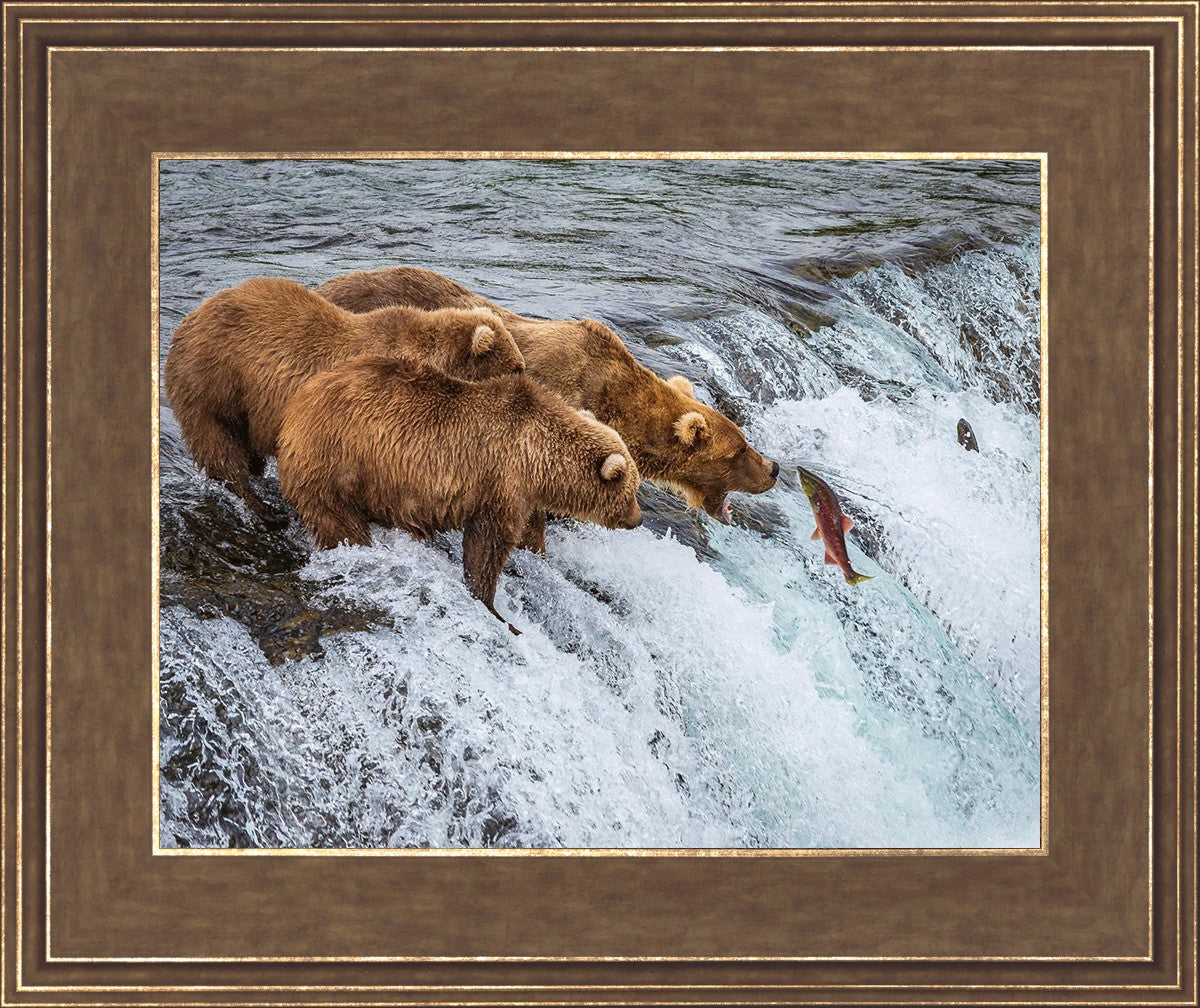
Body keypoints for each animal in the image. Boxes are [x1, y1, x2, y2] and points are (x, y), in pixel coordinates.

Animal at [164, 276, 525, 522]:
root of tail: (187, 320)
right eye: (517, 367)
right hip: (213, 383)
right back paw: (260, 506)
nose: (527, 382)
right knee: (219, 447)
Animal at [275, 353, 643, 632]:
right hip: (337, 462)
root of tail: (297, 404)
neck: (540, 458)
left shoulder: (524, 494)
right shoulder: (501, 481)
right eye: (632, 489)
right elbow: (487, 545)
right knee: (338, 521)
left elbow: (528, 533)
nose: (638, 519)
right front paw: (493, 607)